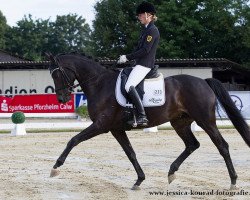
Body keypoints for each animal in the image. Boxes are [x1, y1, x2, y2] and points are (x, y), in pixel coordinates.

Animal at [47, 52, 250, 190]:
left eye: (57, 74)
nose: (62, 99)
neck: (99, 84)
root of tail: (203, 81)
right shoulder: (116, 129)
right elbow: (130, 153)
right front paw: (139, 180)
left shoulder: (101, 125)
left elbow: (74, 140)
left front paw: (56, 167)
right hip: (180, 122)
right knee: (192, 144)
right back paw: (171, 172)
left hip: (205, 120)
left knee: (222, 145)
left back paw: (233, 181)